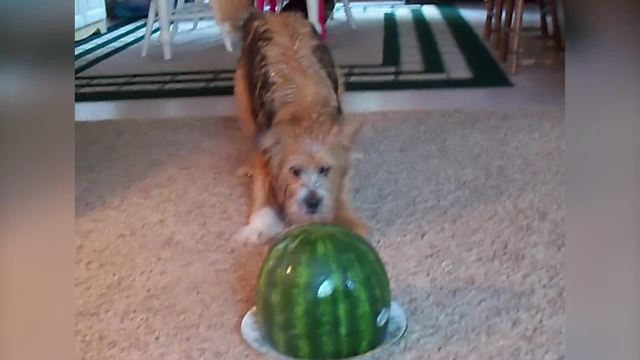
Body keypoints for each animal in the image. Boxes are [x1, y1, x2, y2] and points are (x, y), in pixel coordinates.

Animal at [212, 0, 368, 245]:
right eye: (295, 171)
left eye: (325, 170)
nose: (312, 203)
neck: (305, 111)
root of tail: (266, 15)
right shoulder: (265, 141)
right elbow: (262, 184)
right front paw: (260, 224)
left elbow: (342, 183)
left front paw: (346, 219)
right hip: (244, 102)